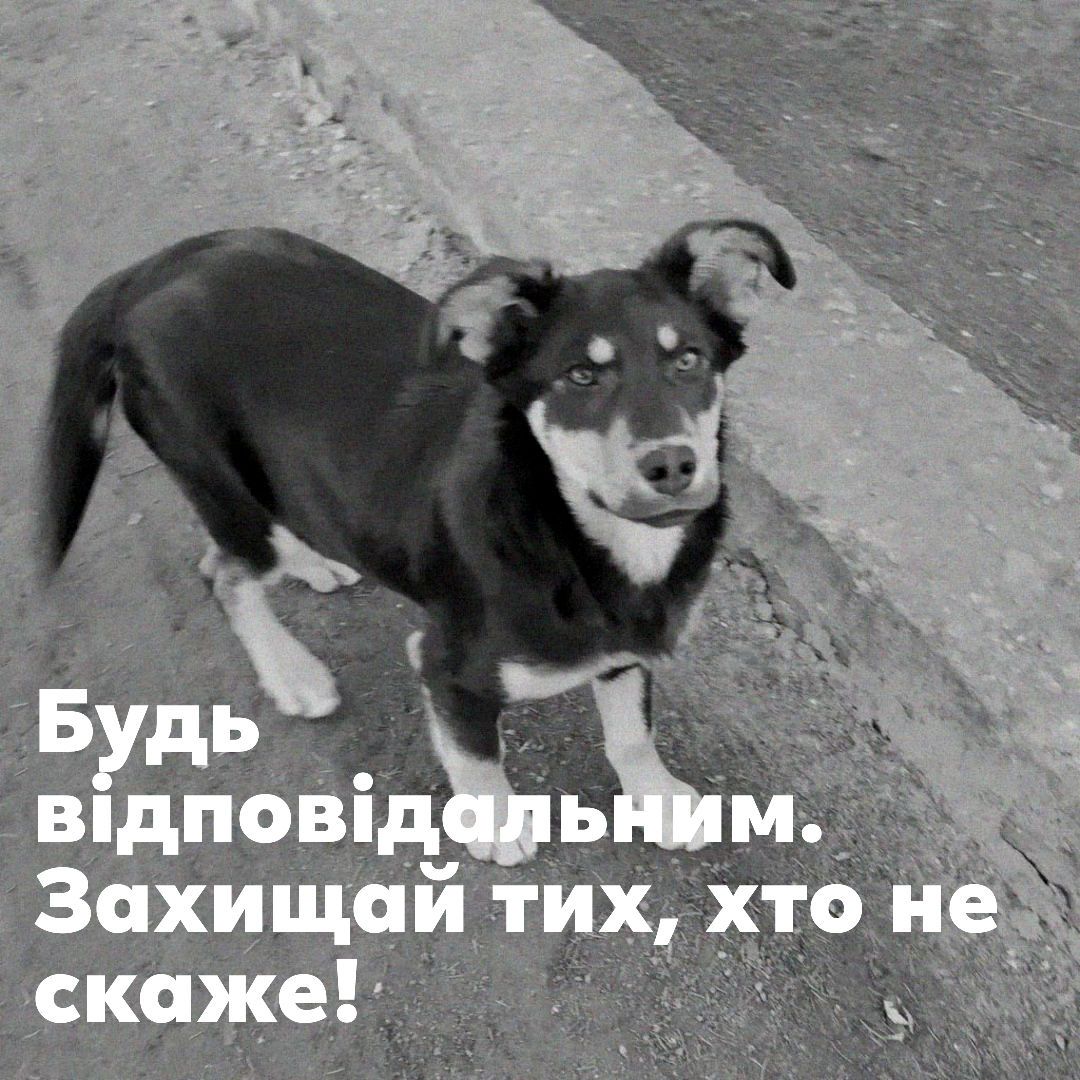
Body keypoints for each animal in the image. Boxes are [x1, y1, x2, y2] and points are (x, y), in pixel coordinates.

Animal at [40, 219, 795, 864]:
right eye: (581, 376)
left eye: (690, 359)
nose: (671, 466)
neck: (572, 533)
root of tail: (147, 271)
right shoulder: (447, 664)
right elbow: (478, 754)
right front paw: (495, 823)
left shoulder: (628, 648)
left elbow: (634, 730)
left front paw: (659, 800)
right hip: (220, 481)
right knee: (223, 574)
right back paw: (293, 674)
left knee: (227, 552)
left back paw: (316, 561)